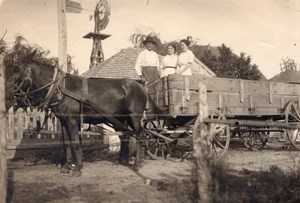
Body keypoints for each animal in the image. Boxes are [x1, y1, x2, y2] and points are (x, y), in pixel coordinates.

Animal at [4, 50, 159, 176]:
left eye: (17, 69)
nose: (7, 93)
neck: (60, 89)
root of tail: (141, 87)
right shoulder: (64, 121)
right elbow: (66, 143)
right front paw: (66, 167)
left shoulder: (73, 120)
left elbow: (75, 142)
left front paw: (77, 169)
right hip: (120, 119)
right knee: (125, 136)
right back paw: (124, 160)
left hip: (135, 117)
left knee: (140, 135)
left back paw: (138, 163)